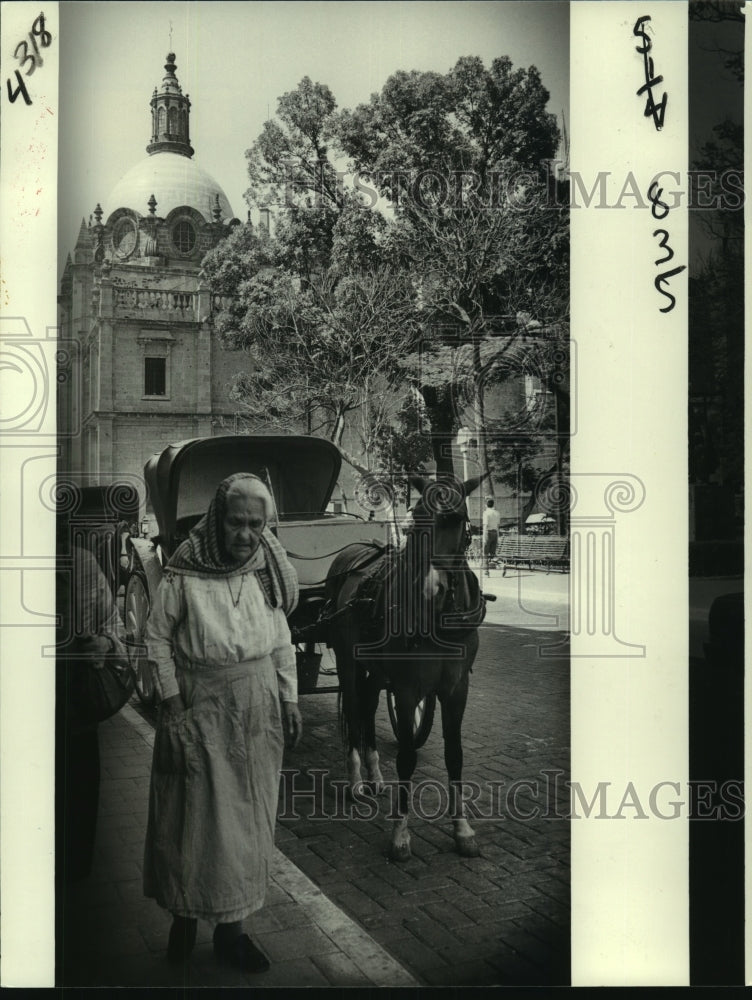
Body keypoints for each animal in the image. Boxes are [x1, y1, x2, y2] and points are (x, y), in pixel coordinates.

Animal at [326, 474, 484, 860]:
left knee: (368, 708)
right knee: (355, 711)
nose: (432, 588)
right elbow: (407, 758)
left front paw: (462, 829)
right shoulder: (408, 688)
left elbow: (455, 755)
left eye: (457, 519)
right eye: (415, 518)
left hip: (376, 672)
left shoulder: (457, 689)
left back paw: (374, 775)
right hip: (349, 664)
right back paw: (356, 781)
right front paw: (400, 835)